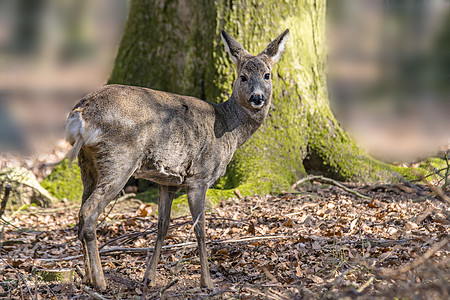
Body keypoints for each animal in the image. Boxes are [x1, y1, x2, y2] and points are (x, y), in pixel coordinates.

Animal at [66, 29, 290, 290]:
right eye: (242, 77)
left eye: (267, 75)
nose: (257, 98)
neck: (229, 128)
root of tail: (81, 114)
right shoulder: (199, 177)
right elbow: (200, 229)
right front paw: (207, 282)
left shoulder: (168, 182)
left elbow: (162, 226)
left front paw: (149, 278)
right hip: (119, 159)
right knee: (89, 212)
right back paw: (100, 281)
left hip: (87, 163)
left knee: (80, 213)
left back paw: (87, 277)